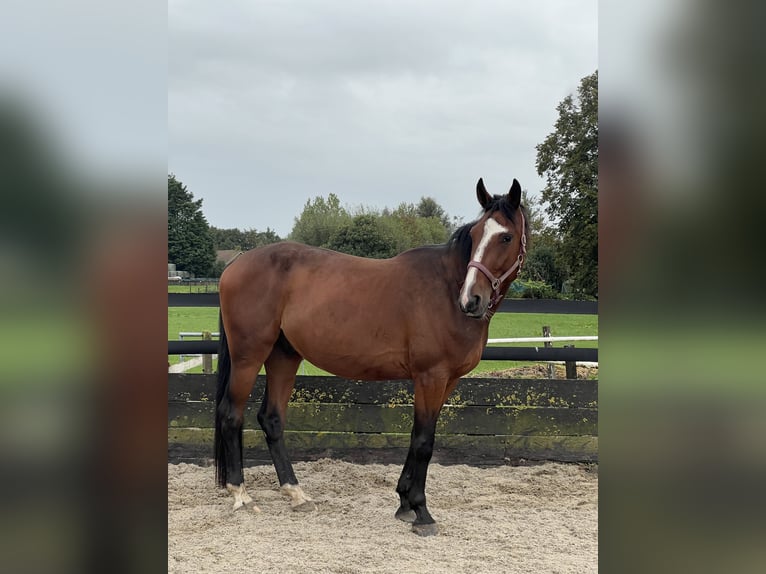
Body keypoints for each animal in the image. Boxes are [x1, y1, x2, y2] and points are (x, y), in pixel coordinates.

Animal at [214, 178, 528, 536]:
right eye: (475, 236)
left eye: (505, 236)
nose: (471, 299)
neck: (446, 289)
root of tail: (235, 264)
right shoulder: (430, 377)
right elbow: (424, 441)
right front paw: (421, 511)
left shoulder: (446, 381)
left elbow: (417, 437)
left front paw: (404, 502)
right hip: (248, 357)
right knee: (230, 415)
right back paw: (241, 496)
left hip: (284, 356)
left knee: (271, 419)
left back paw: (297, 494)